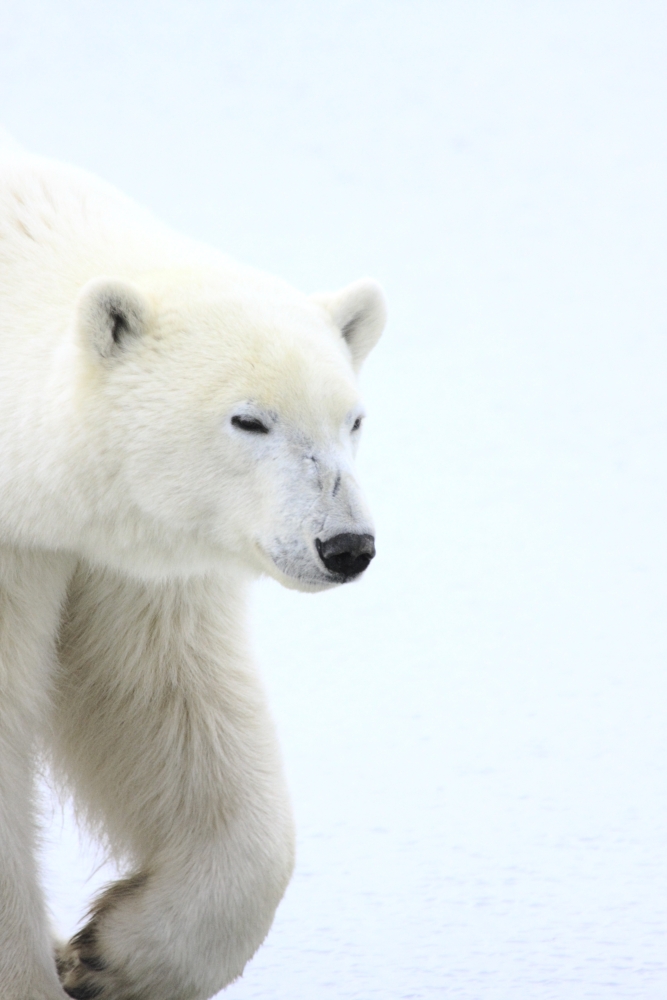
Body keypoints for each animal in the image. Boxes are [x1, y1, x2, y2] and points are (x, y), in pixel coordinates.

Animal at [0, 148, 385, 1000]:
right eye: (249, 419)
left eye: (353, 418)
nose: (345, 545)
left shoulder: (118, 560)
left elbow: (163, 704)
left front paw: (113, 956)